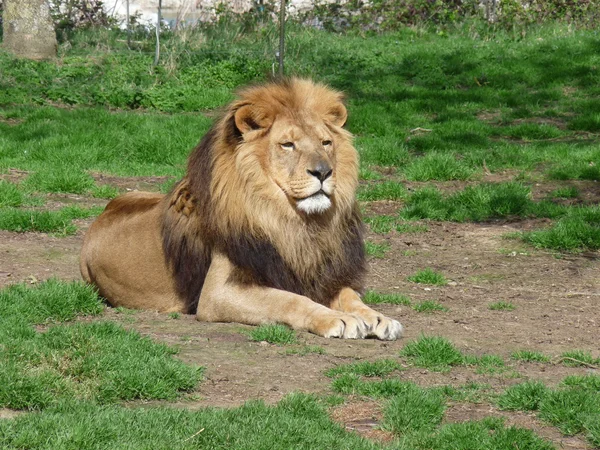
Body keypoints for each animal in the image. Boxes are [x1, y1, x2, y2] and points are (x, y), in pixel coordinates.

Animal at [81, 77, 404, 340]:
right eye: (287, 145)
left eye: (326, 142)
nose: (324, 172)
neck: (294, 223)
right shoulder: (217, 293)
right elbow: (289, 299)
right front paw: (336, 318)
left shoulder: (320, 273)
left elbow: (351, 296)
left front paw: (378, 318)